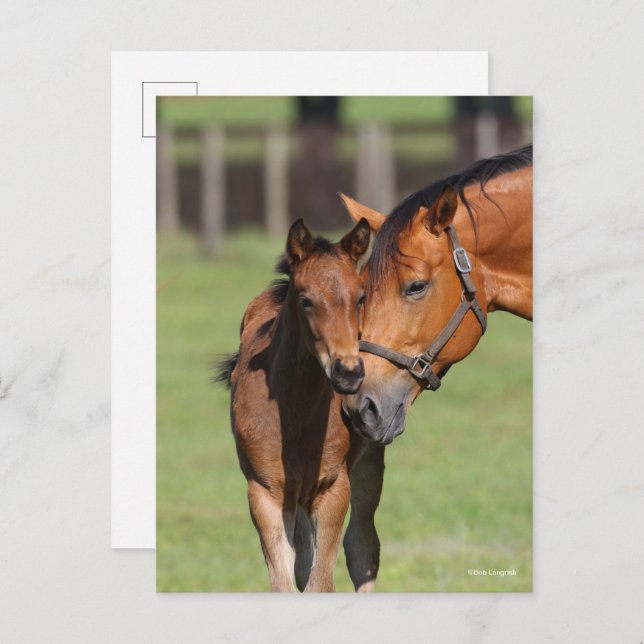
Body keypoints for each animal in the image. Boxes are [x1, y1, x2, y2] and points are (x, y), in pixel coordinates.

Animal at [217, 217, 371, 592]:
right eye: (306, 300)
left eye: (361, 297)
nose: (348, 372)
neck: (296, 413)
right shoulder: (266, 493)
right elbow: (285, 583)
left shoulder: (333, 488)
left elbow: (321, 583)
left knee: (362, 549)